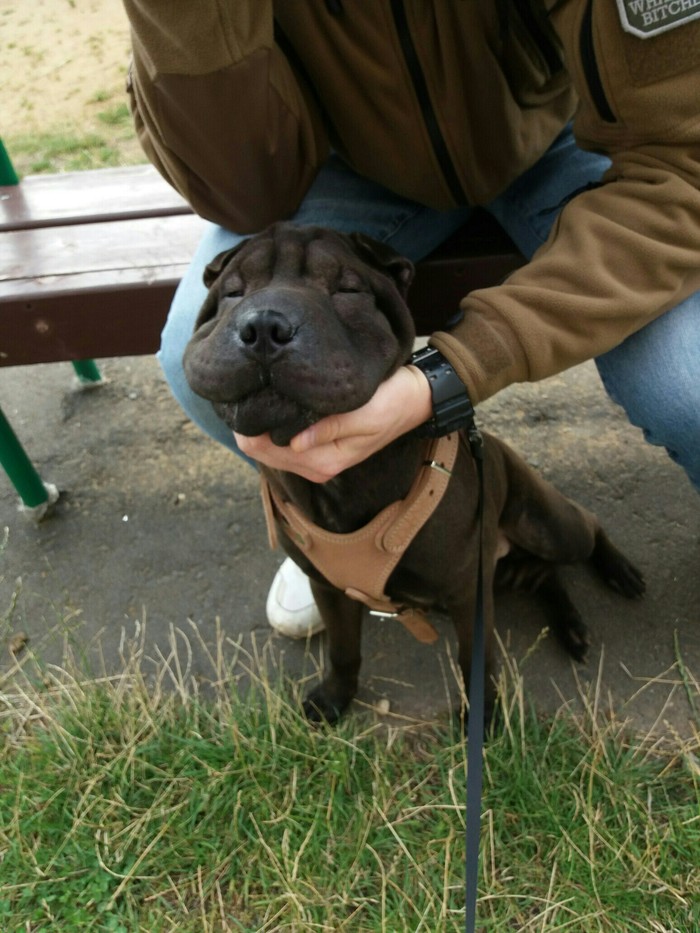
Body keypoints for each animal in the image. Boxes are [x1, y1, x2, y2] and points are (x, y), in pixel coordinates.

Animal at [182, 222, 644, 724]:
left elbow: (475, 660)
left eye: (348, 290)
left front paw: (481, 717)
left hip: (546, 524)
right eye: (232, 292)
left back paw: (620, 572)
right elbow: (343, 650)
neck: (340, 485)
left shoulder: (468, 594)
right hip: (505, 569)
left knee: (587, 529)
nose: (264, 325)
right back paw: (570, 625)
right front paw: (334, 698)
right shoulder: (329, 588)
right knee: (543, 576)